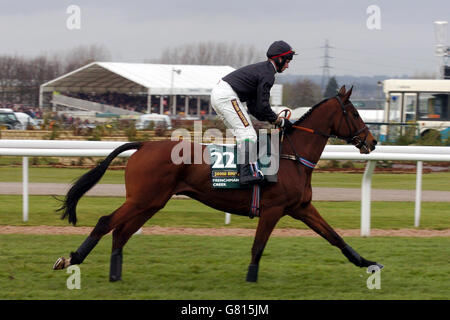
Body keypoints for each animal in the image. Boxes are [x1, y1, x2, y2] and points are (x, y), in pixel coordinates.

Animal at [52, 85, 384, 282]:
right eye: (355, 113)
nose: (372, 141)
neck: (292, 155)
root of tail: (144, 144)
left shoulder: (301, 208)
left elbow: (335, 237)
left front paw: (370, 263)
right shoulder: (273, 210)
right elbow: (258, 247)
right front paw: (251, 279)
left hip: (152, 202)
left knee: (121, 232)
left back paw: (115, 275)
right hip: (142, 199)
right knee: (106, 222)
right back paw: (71, 259)